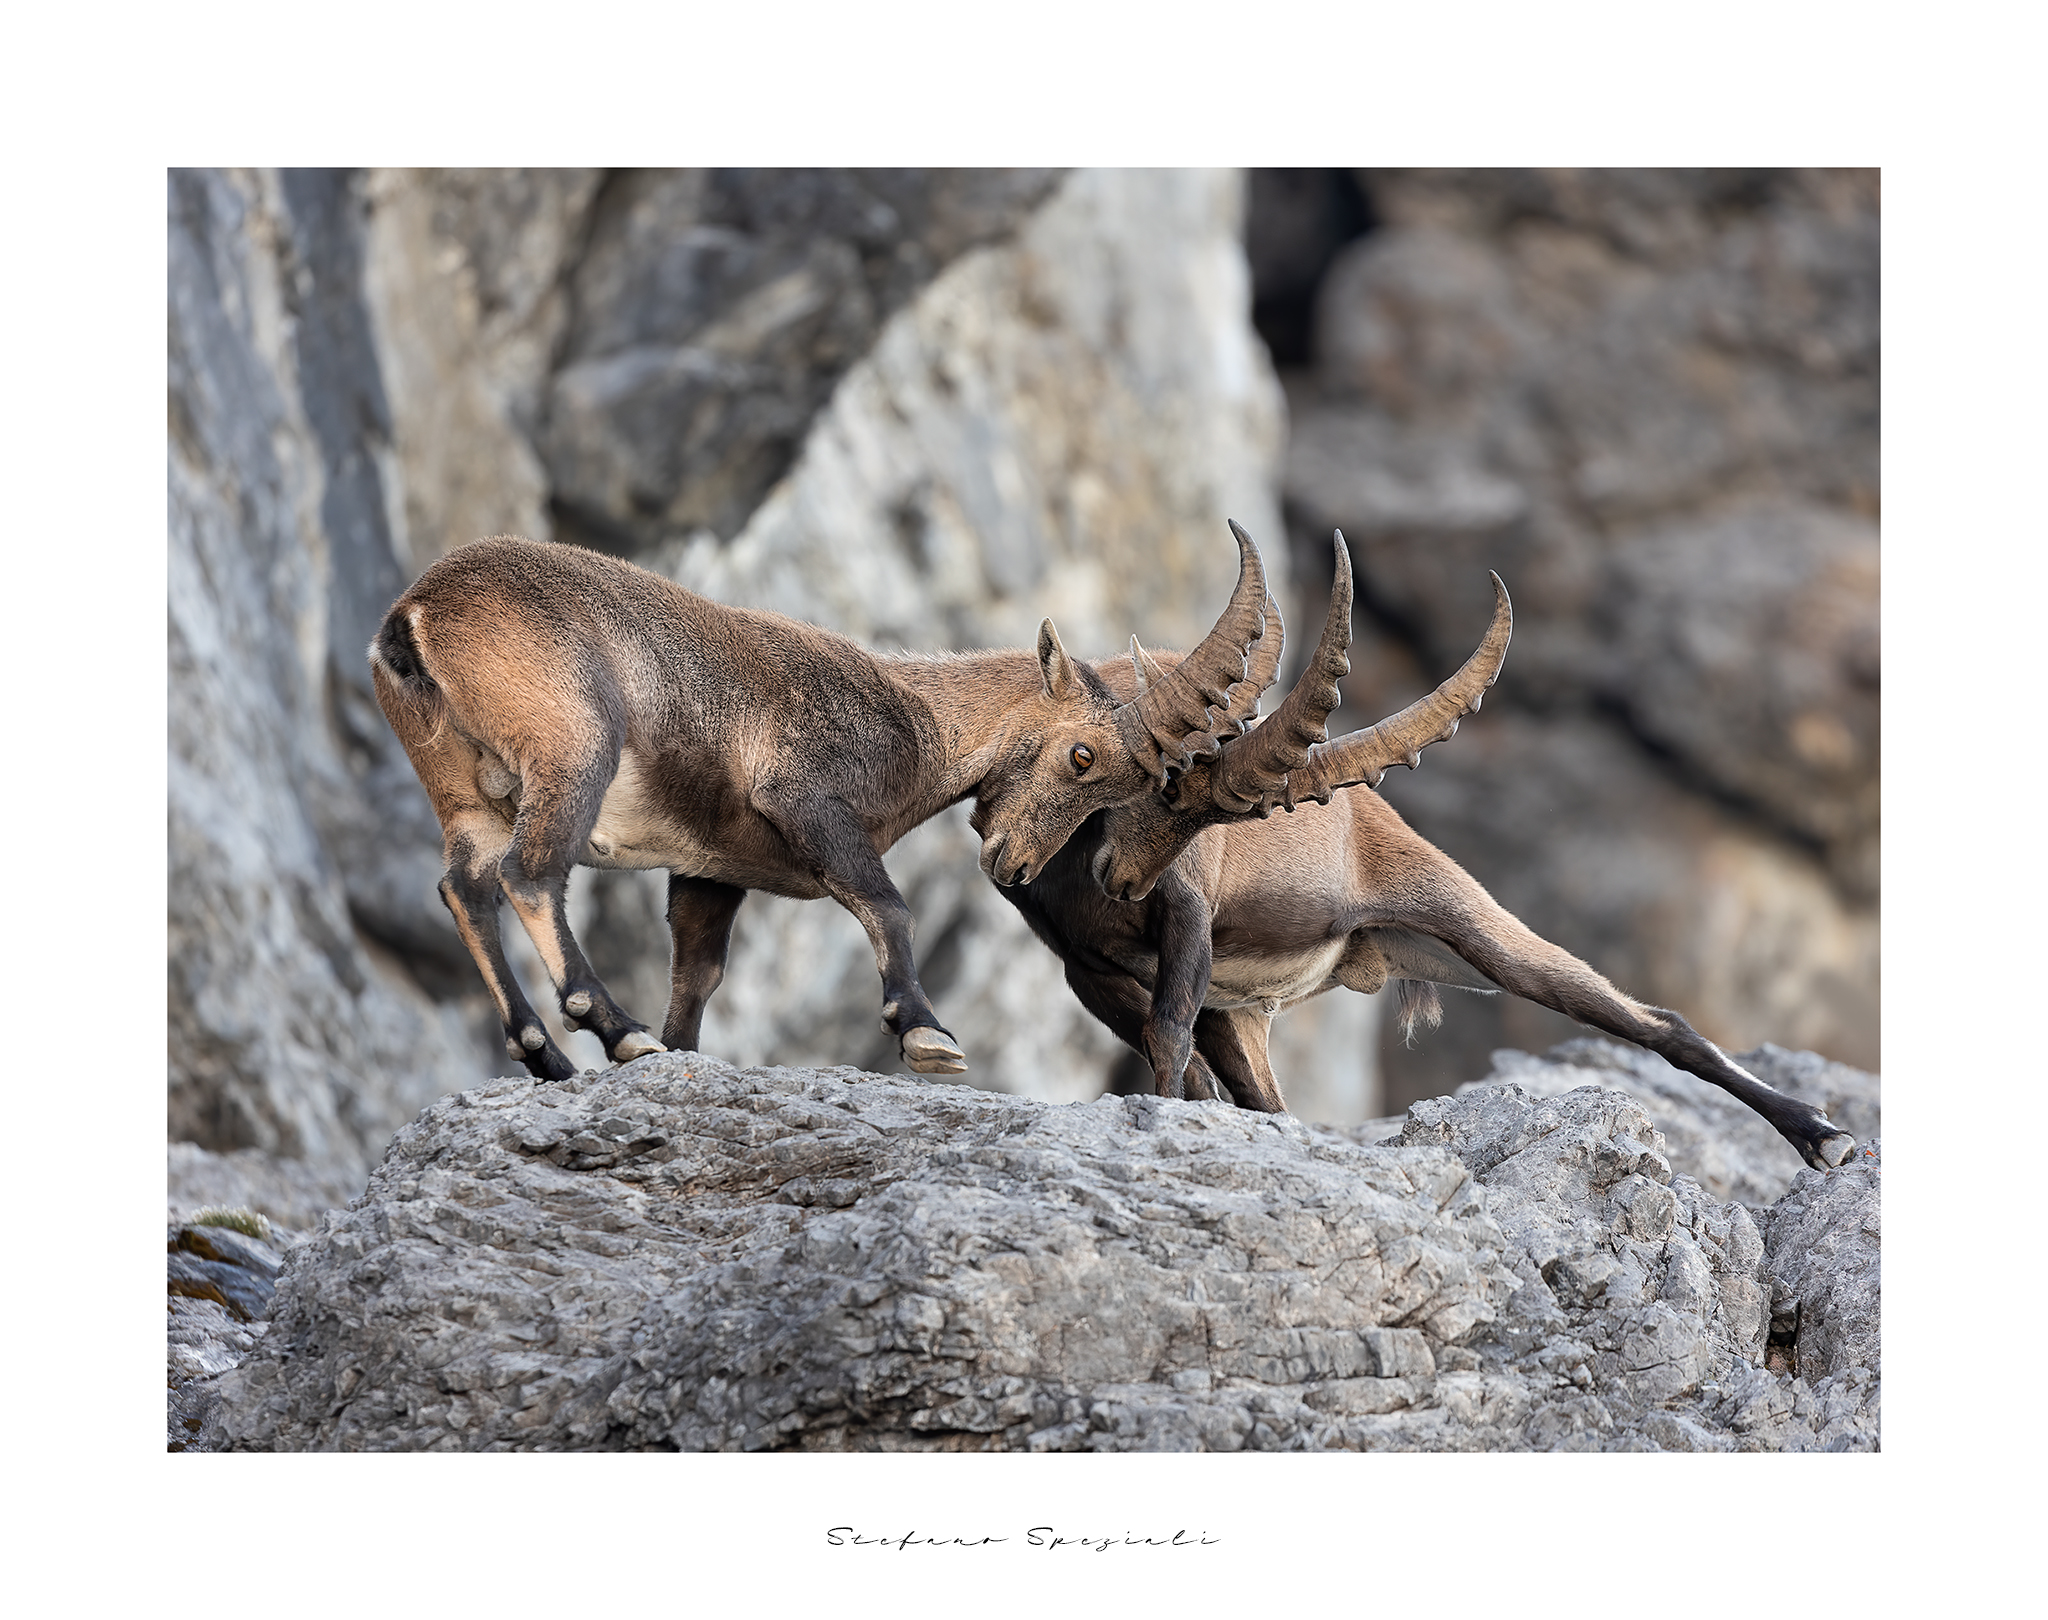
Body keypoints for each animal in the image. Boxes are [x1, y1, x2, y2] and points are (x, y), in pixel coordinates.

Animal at [369, 525, 1277, 1085]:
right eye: (1083, 755)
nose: (1013, 865)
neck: (921, 720)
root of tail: (413, 619)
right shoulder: (806, 800)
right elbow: (886, 901)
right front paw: (926, 1033)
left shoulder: (712, 867)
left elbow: (698, 972)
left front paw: (683, 1053)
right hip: (573, 748)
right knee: (529, 877)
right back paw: (614, 1030)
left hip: (467, 797)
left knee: (465, 888)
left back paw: (549, 1058)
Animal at [999, 535, 1860, 1172]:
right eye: (1159, 781)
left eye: (1196, 812)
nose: (1122, 881)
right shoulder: (1088, 967)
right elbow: (1175, 1048)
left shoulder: (1186, 914)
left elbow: (1170, 1031)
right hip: (1257, 1009)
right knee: (1271, 1103)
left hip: (1470, 925)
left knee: (1657, 1019)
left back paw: (1826, 1138)